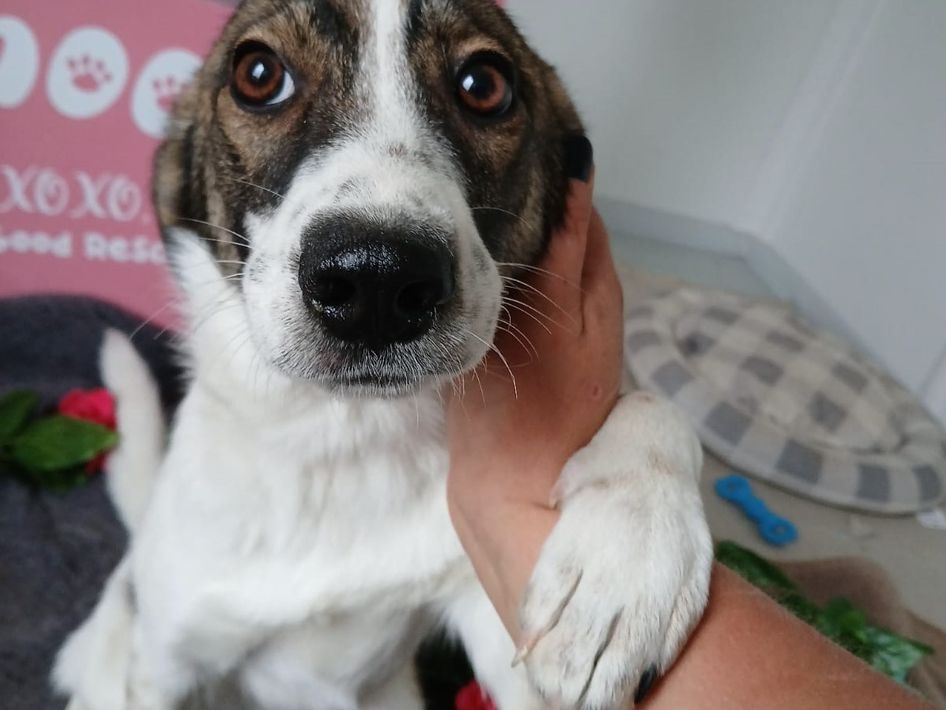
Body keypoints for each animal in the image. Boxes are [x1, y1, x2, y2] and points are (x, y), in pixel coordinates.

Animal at [54, 1, 712, 708]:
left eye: (486, 84)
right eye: (258, 74)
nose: (376, 279)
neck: (343, 443)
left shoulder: (487, 612)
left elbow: (654, 406)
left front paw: (629, 552)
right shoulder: (166, 665)